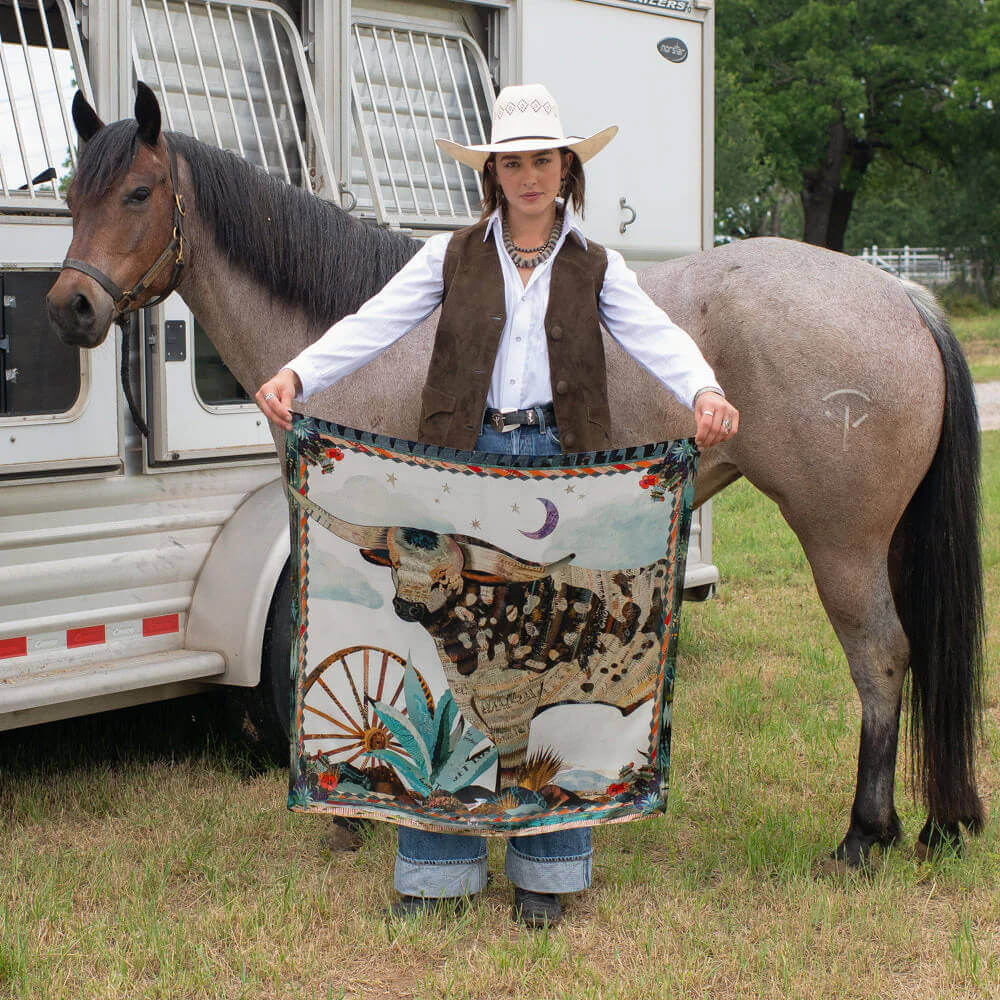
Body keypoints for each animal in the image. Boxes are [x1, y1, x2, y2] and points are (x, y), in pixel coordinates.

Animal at [47, 85, 985, 868]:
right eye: (70, 198)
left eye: (137, 193)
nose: (70, 308)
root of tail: (903, 299)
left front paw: (359, 812)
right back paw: (928, 826)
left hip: (842, 541)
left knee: (880, 657)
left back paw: (863, 837)